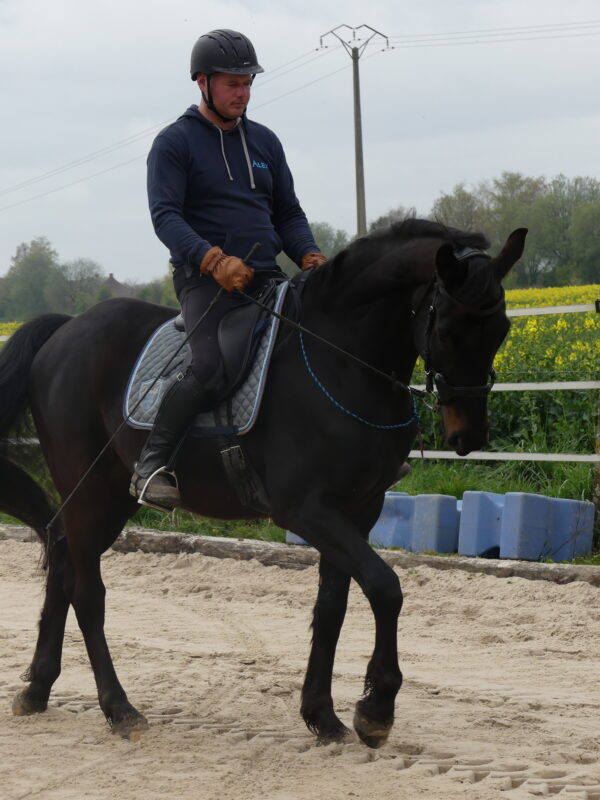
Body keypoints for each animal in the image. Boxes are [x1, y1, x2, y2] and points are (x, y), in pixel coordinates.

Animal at [0, 217, 524, 744]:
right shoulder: (306, 510)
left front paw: (323, 715)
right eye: (450, 331)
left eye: (502, 329)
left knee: (62, 561)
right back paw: (119, 708)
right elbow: (384, 586)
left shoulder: (359, 509)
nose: (468, 434)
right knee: (88, 592)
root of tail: (68, 328)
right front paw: (376, 709)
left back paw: (37, 689)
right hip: (89, 488)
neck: (341, 360)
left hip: (109, 493)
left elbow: (331, 608)